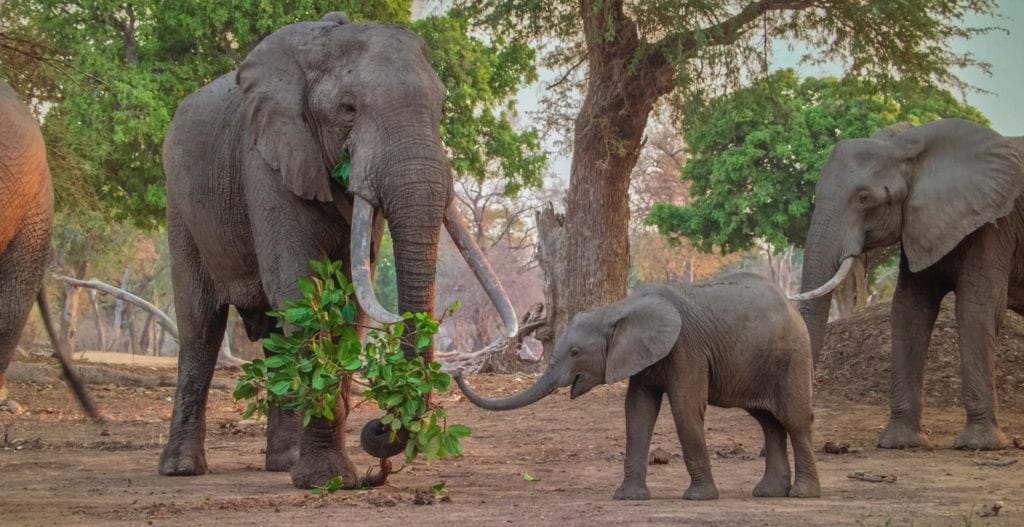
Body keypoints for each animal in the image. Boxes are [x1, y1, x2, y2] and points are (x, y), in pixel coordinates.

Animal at [159, 13, 520, 491]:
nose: (379, 431)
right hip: (180, 205)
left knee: (273, 333)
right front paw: (327, 479)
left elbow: (349, 300)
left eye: (442, 108)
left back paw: (284, 462)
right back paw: (181, 469)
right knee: (200, 326)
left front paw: (328, 476)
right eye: (347, 109)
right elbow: (301, 291)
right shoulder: (267, 161)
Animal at [452, 274, 819, 501]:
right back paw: (769, 493)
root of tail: (791, 306)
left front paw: (697, 498)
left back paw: (801, 494)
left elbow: (685, 408)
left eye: (575, 353)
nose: (455, 372)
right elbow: (637, 411)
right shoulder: (641, 354)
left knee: (794, 420)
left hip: (794, 357)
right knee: (768, 421)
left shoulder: (686, 348)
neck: (617, 309)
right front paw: (628, 498)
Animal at [794, 117, 1024, 452]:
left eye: (864, 198)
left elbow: (975, 308)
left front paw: (978, 445)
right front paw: (901, 443)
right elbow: (909, 309)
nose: (811, 422)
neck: (909, 149)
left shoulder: (993, 226)